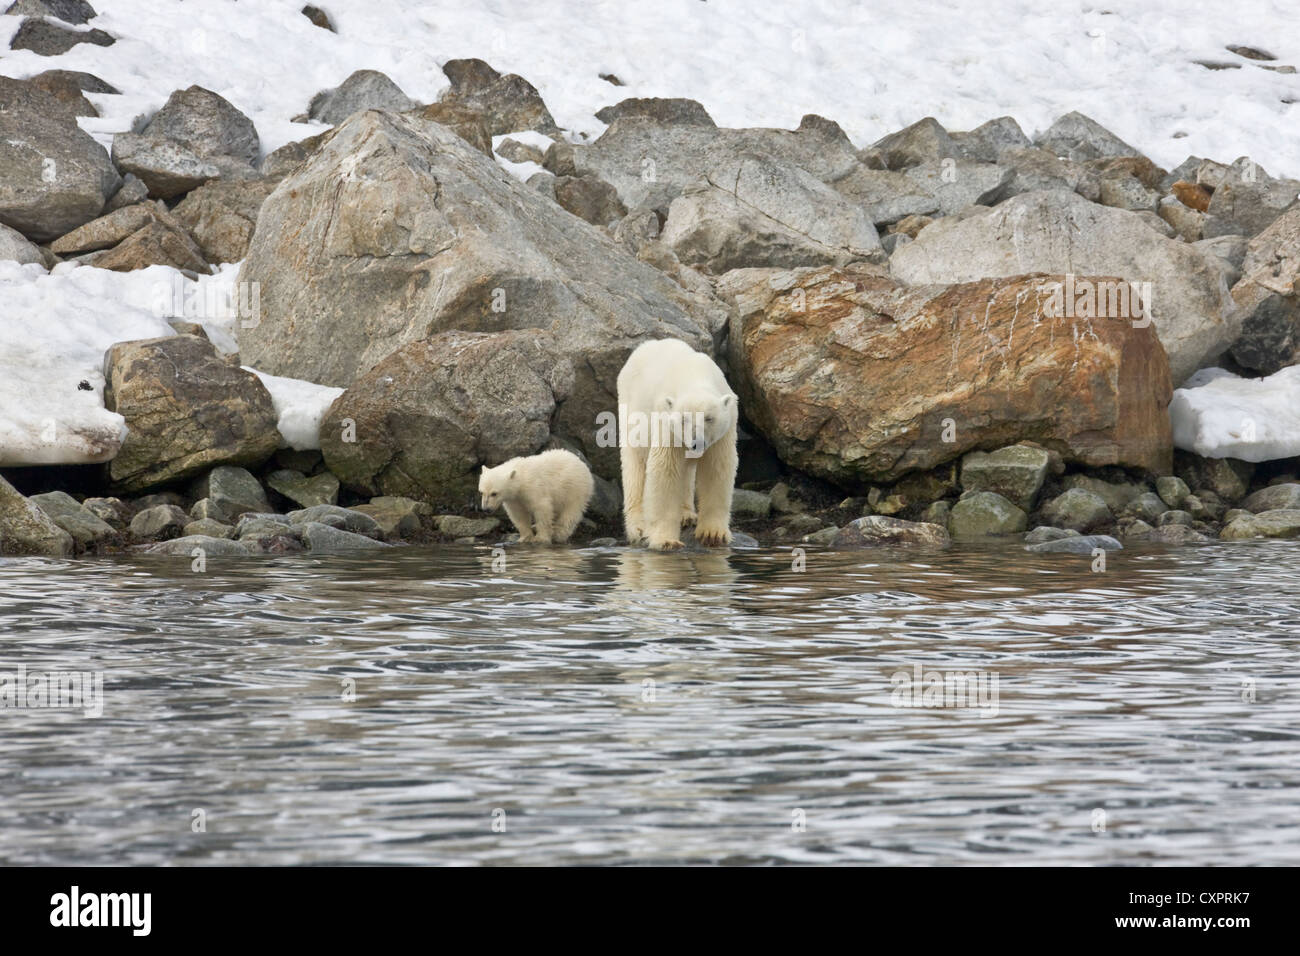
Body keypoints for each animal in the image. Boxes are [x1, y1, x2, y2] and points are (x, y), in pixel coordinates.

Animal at [613, 338, 738, 548]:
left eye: (709, 418)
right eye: (683, 419)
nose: (696, 443)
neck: (694, 375)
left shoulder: (725, 430)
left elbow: (716, 469)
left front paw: (713, 534)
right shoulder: (667, 422)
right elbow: (665, 470)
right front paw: (666, 541)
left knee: (686, 471)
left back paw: (686, 515)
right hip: (629, 411)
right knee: (634, 467)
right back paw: (638, 527)